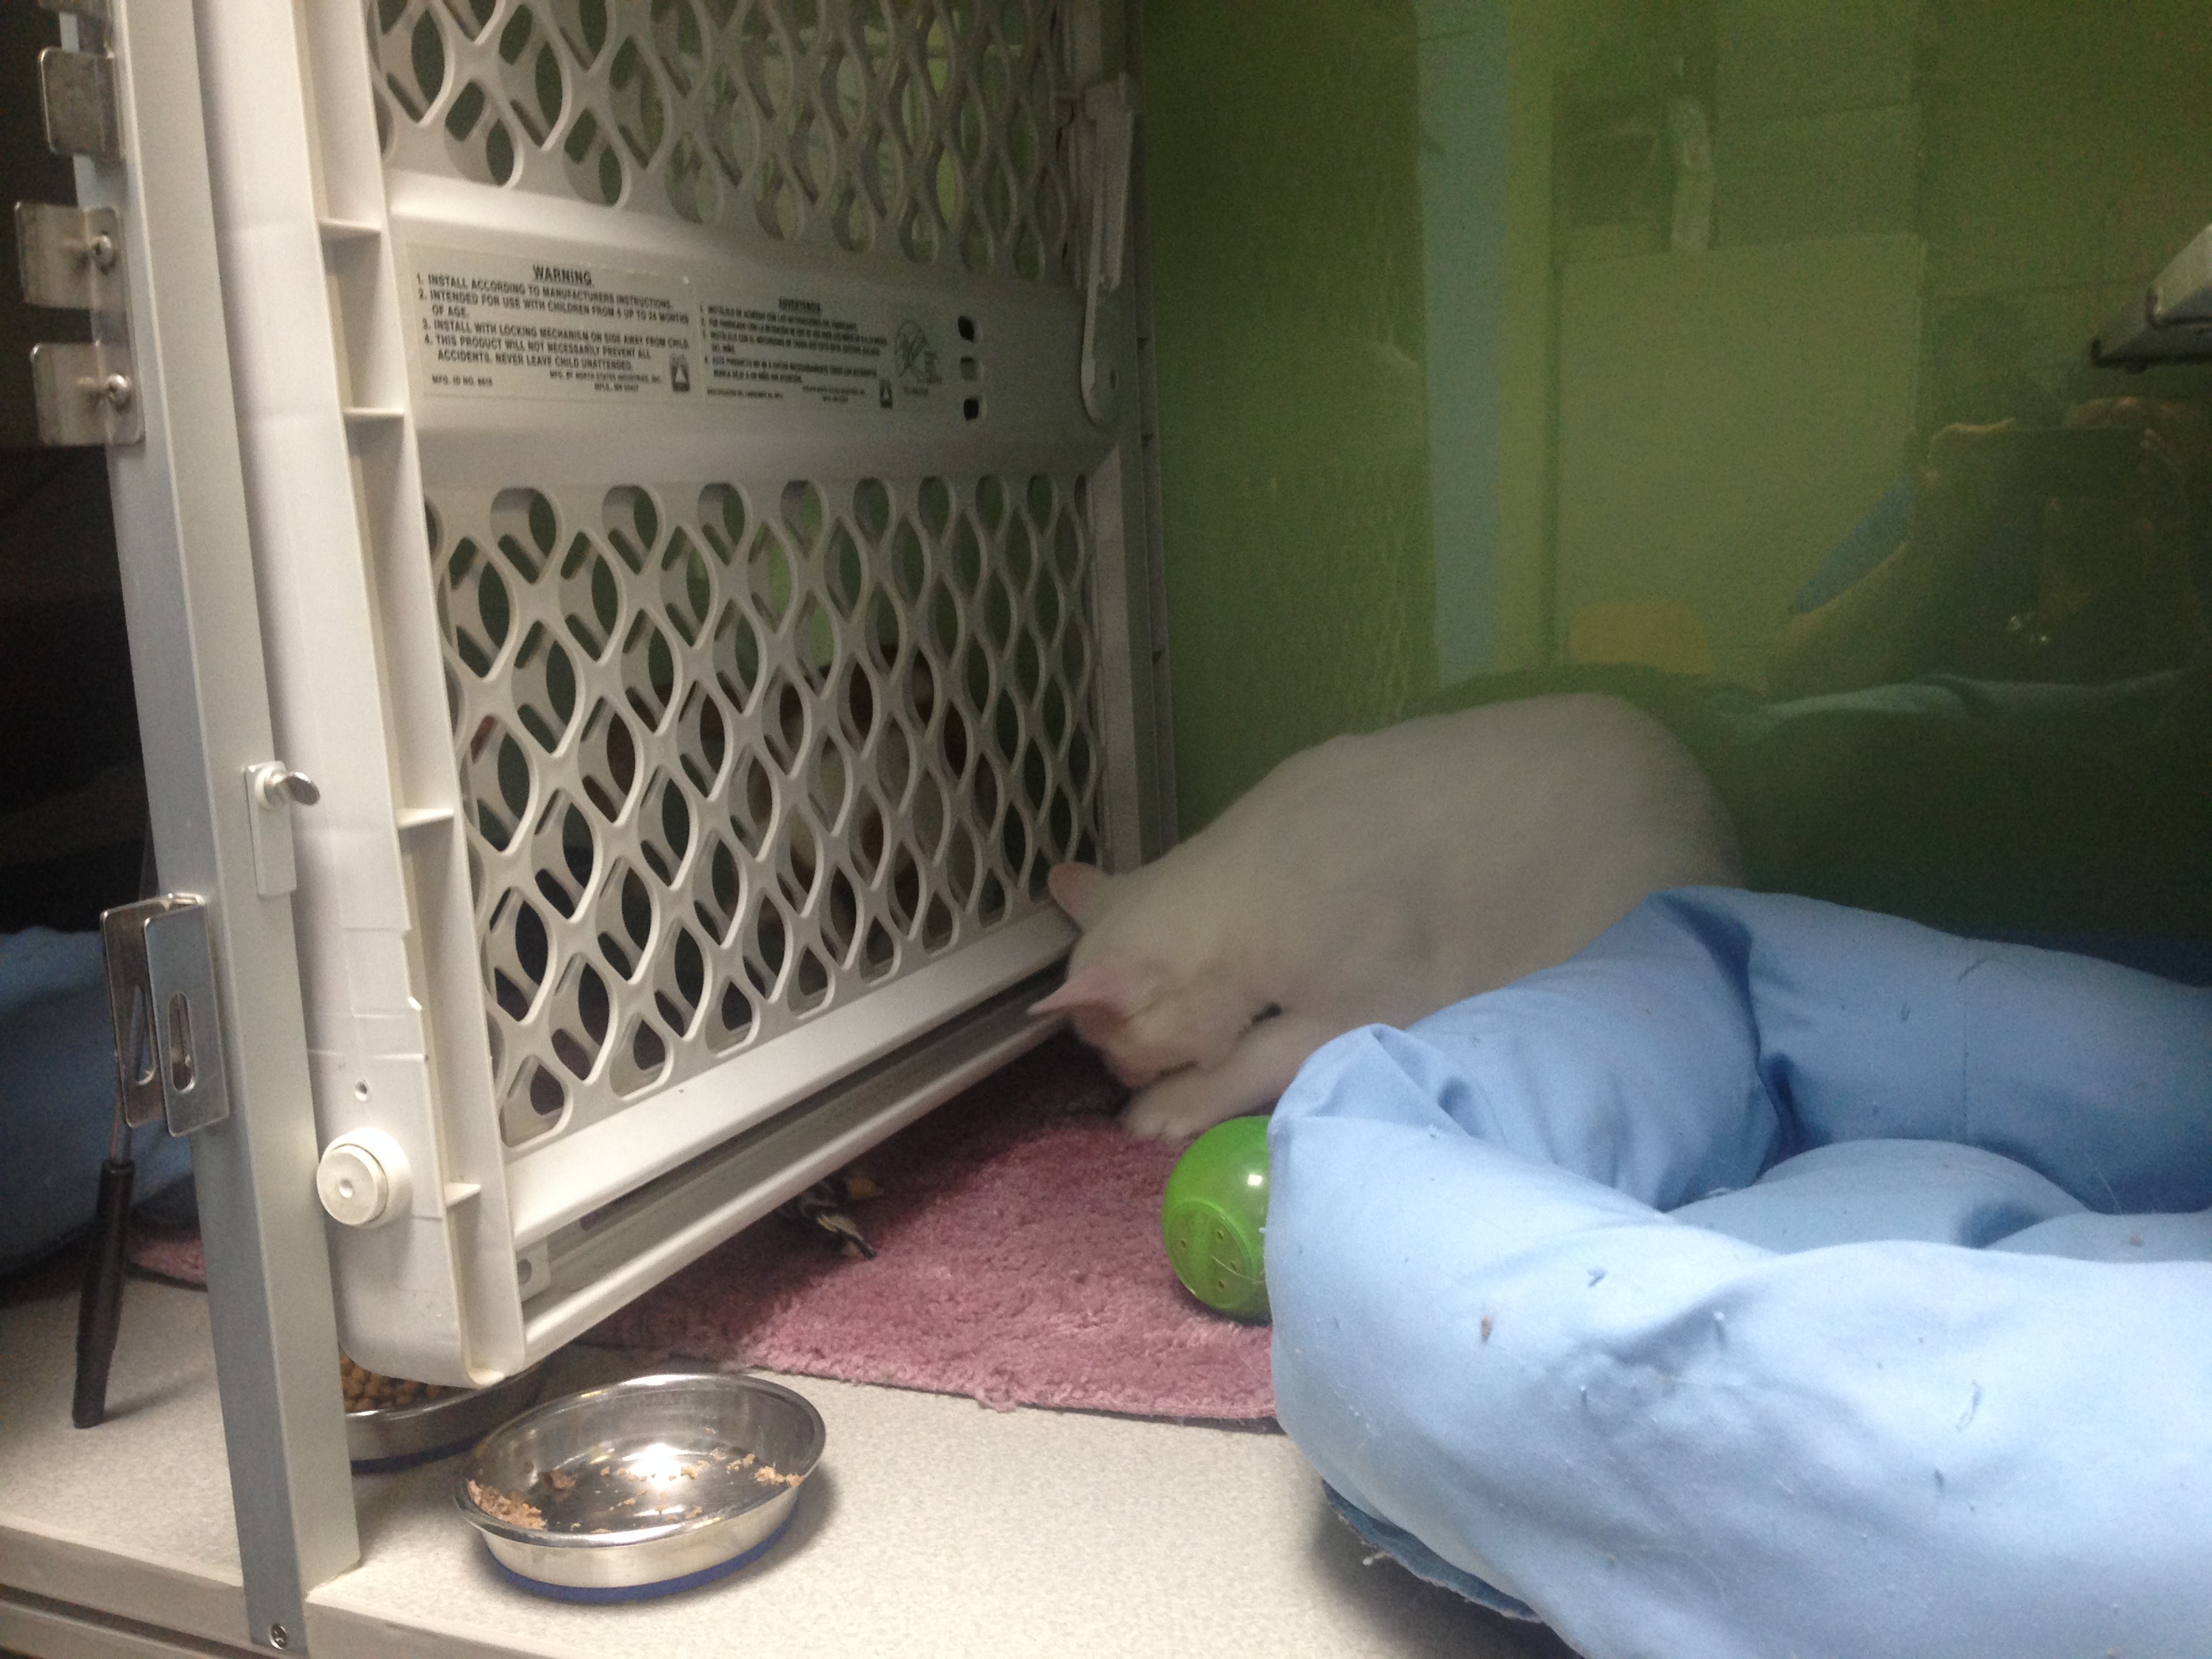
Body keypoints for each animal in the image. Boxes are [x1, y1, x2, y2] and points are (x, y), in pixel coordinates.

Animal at [1035, 690, 1743, 1141]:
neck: (1240, 879)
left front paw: (1160, 1108)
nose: (1115, 1077)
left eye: (1105, 1045)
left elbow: (1261, 1053)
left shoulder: (1377, 998)